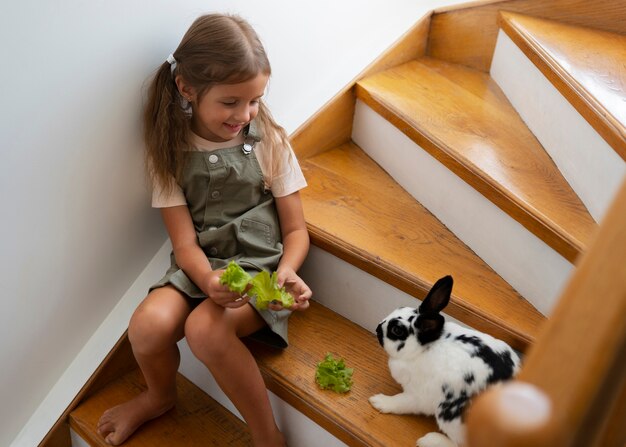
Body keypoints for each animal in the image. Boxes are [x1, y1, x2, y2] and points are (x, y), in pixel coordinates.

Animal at [368, 276, 520, 447]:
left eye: (397, 330)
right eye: (400, 307)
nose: (377, 328)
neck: (424, 348)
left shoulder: (418, 395)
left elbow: (401, 402)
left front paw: (379, 401)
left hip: (449, 415)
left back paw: (429, 440)